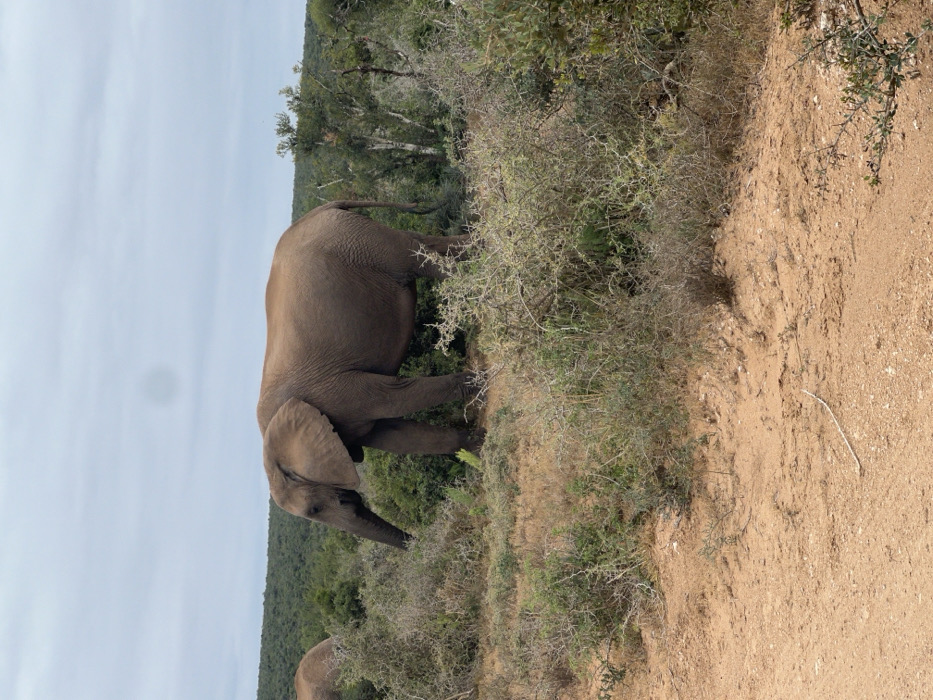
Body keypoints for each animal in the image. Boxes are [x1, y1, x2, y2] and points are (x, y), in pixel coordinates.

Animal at [258, 200, 483, 549]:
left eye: (314, 509)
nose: (419, 544)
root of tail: (322, 209)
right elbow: (394, 435)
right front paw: (479, 446)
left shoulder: (338, 393)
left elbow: (395, 399)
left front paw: (480, 382)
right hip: (361, 240)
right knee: (425, 244)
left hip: (357, 243)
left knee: (417, 258)